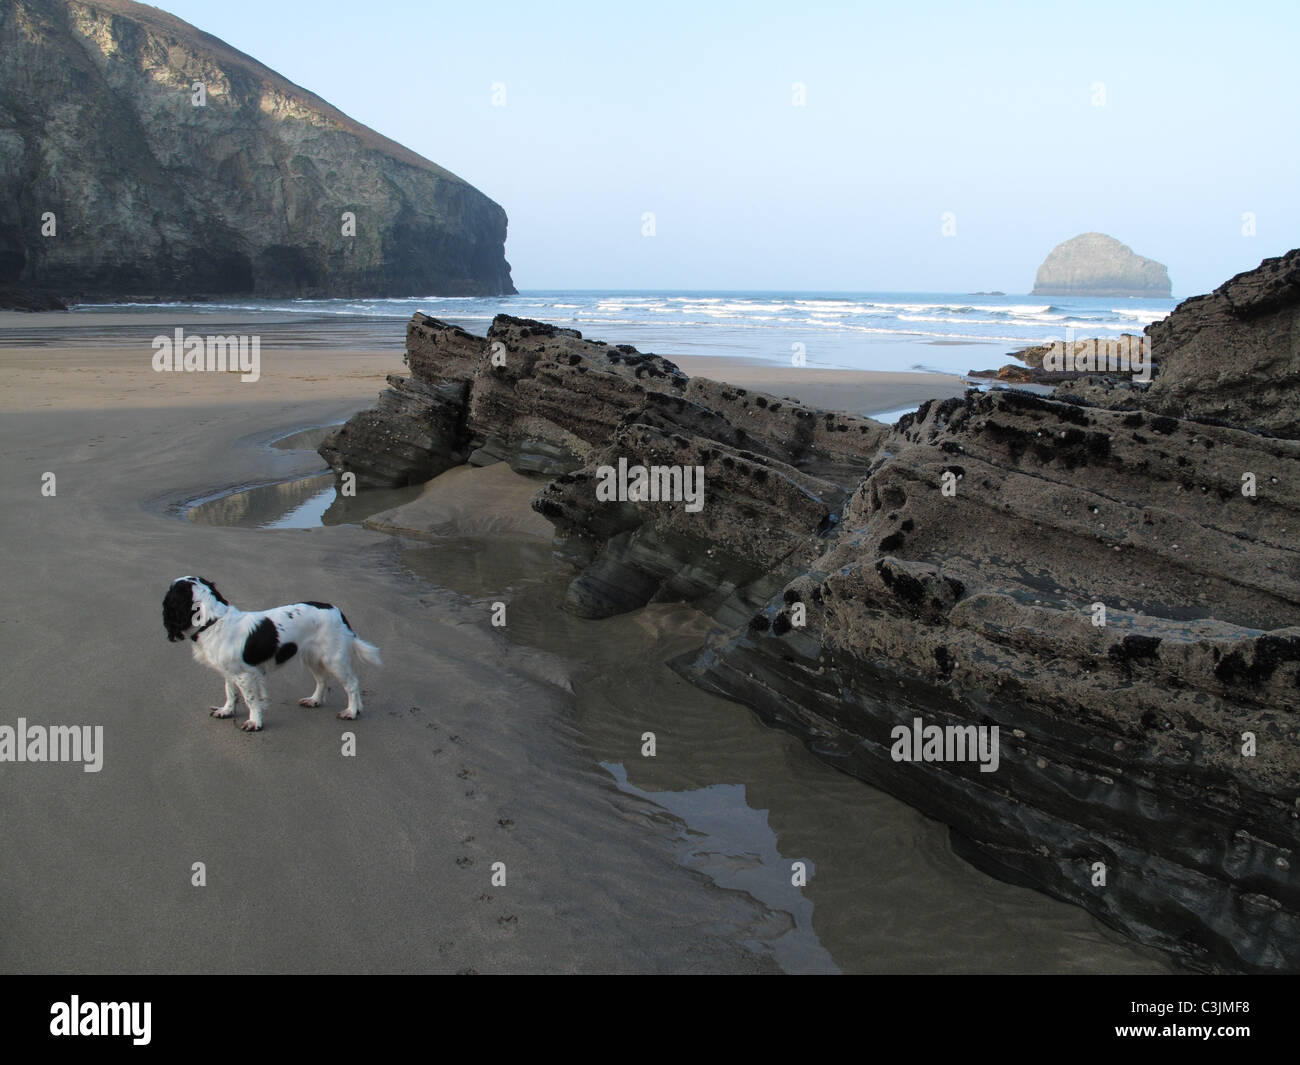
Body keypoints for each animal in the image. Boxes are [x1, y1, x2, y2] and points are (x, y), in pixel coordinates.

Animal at [161, 574, 379, 733]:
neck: (213, 621)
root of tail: (337, 611)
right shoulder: (229, 673)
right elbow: (230, 693)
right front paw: (226, 711)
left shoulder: (246, 676)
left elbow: (251, 700)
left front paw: (254, 722)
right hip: (312, 657)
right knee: (322, 680)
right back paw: (315, 700)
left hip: (334, 659)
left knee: (352, 684)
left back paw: (352, 711)